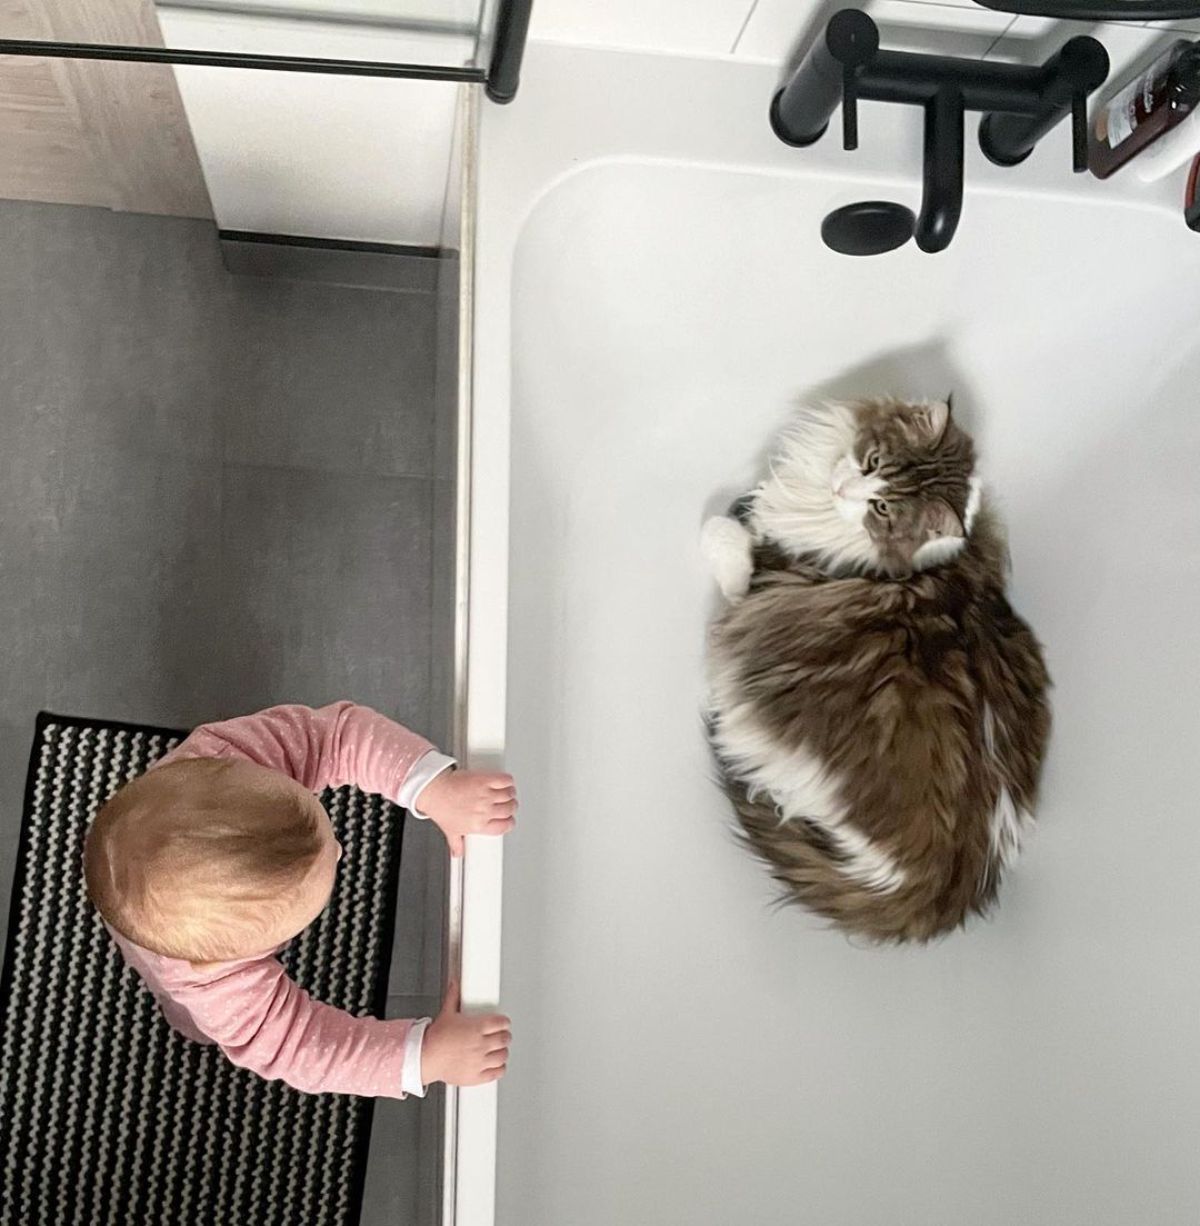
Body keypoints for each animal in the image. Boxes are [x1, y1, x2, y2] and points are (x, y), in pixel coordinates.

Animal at [706, 397, 1049, 941]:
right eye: (872, 463)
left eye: (882, 508)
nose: (844, 488)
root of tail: (947, 884)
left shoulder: (766, 579)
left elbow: (730, 545)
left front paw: (724, 526)